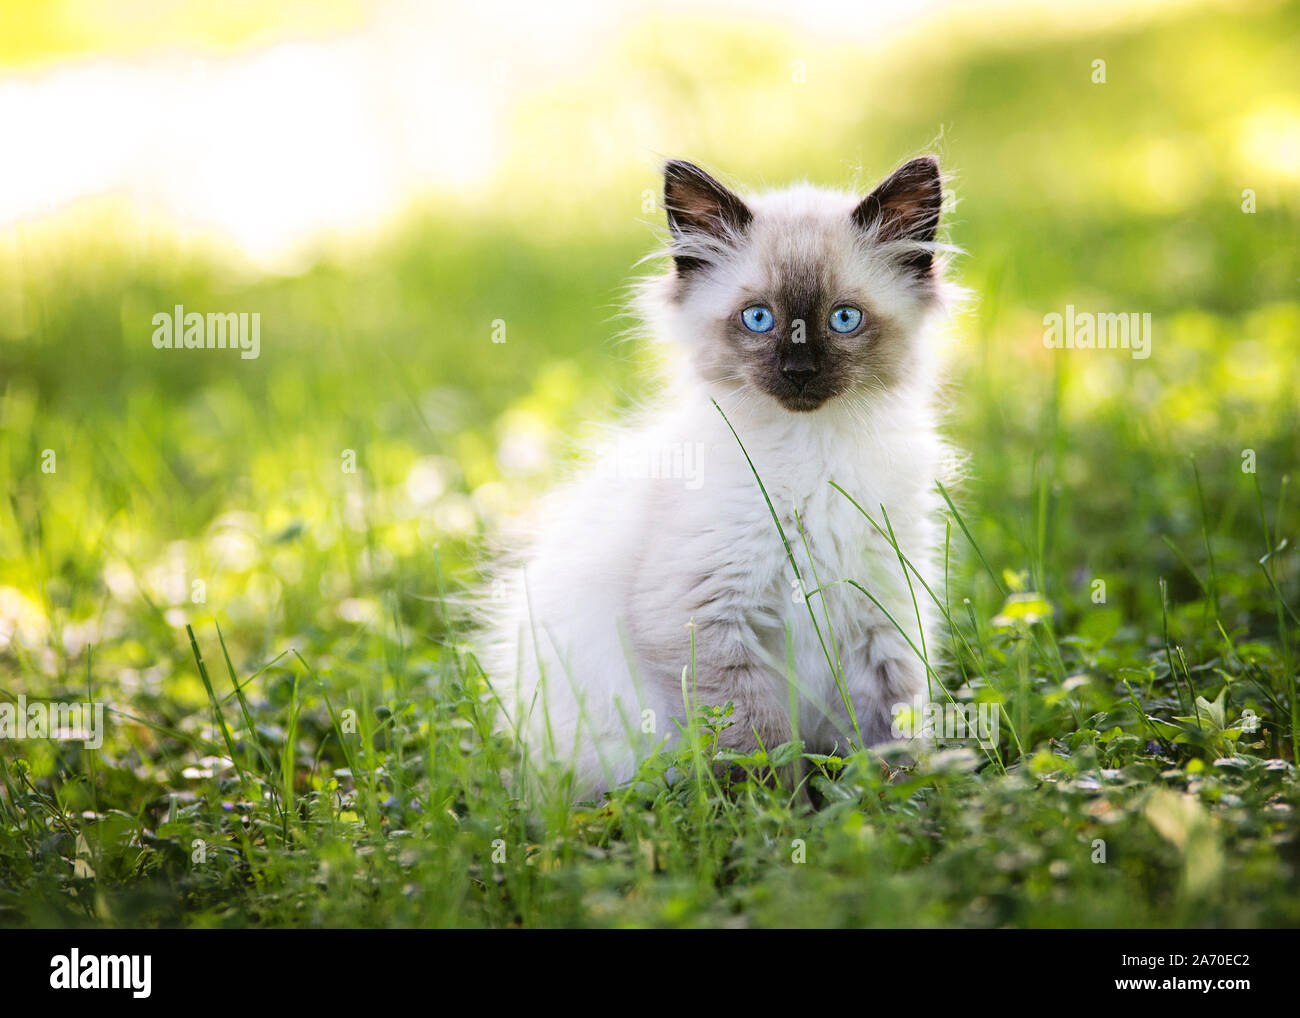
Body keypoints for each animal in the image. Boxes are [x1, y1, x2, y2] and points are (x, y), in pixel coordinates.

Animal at [478, 155, 956, 800]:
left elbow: (890, 725)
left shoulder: (883, 607)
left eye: (843, 319)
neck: (808, 457)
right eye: (758, 319)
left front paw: (900, 794)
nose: (799, 372)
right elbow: (757, 744)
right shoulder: (703, 613)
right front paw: (784, 813)